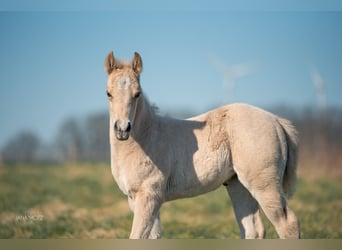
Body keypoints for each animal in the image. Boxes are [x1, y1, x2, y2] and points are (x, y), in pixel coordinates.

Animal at [103, 50, 300, 238]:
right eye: (108, 93)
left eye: (138, 94)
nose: (122, 129)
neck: (147, 136)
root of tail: (276, 120)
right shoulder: (136, 199)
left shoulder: (149, 196)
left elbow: (137, 235)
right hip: (238, 184)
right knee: (253, 230)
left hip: (265, 185)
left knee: (288, 224)